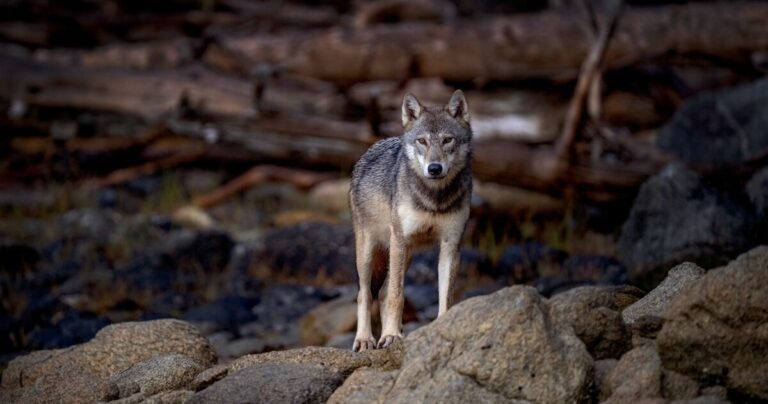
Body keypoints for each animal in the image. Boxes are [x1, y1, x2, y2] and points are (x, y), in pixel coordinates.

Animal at [349, 90, 473, 351]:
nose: (434, 168)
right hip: (371, 253)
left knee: (383, 292)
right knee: (365, 293)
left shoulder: (451, 244)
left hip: (406, 254)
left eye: (447, 140)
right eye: (422, 141)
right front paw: (390, 336)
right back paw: (365, 339)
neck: (434, 199)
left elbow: (446, 296)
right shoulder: (400, 240)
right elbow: (397, 296)